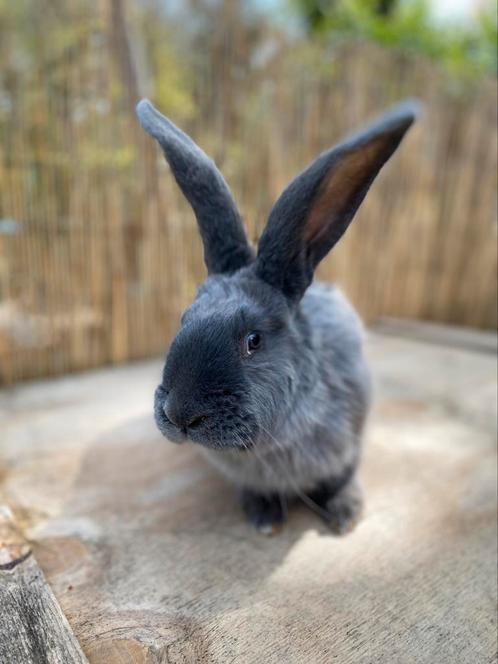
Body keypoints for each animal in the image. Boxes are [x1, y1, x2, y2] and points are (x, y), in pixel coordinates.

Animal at [135, 97, 416, 536]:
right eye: (183, 319)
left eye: (254, 340)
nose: (180, 413)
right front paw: (263, 516)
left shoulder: (351, 442)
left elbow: (343, 476)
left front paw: (346, 514)